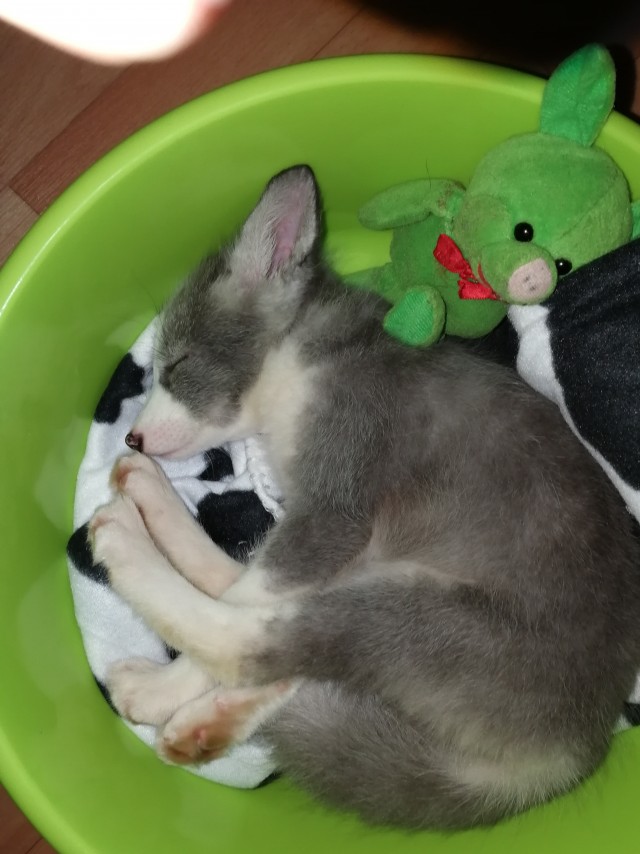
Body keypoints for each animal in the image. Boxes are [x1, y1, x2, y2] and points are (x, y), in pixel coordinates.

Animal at [89, 165, 640, 830]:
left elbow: (248, 604)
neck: (304, 359)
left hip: (417, 611)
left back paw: (138, 605)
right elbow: (248, 582)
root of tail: (572, 754)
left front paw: (170, 688)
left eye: (177, 365)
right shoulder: (328, 535)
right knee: (265, 622)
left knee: (257, 640)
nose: (133, 438)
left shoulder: (335, 514)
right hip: (381, 579)